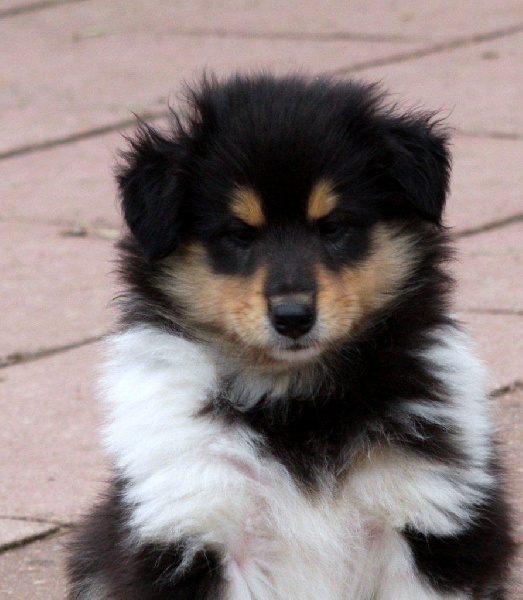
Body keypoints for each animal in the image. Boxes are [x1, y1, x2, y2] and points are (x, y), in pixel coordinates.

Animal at [67, 74, 514, 599]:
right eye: (239, 234)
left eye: (334, 227)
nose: (294, 316)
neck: (295, 397)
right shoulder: (199, 519)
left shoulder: (425, 515)